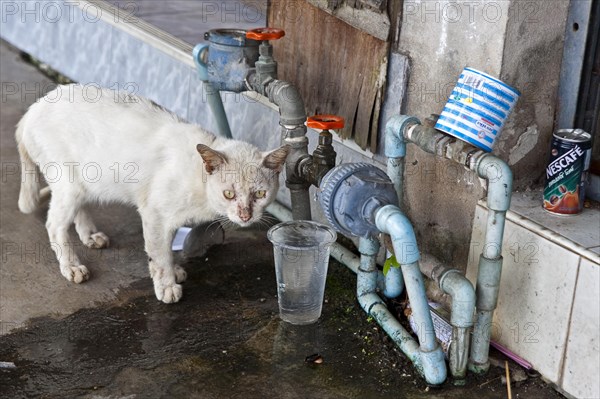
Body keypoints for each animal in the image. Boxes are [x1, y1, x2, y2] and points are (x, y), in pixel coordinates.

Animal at [15, 84, 288, 304]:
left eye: (260, 193)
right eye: (229, 193)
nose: (245, 216)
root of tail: (31, 110)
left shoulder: (168, 219)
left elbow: (167, 248)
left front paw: (174, 270)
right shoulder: (155, 213)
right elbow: (159, 254)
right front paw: (167, 286)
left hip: (82, 184)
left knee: (75, 212)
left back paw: (90, 236)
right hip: (70, 184)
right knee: (54, 225)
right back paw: (72, 267)